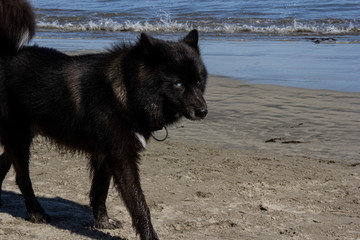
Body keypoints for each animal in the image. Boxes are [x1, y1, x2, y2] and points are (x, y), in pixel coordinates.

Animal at [0, 0, 207, 239]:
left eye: (198, 81)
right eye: (178, 83)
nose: (203, 111)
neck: (126, 92)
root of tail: (6, 54)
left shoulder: (105, 155)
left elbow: (99, 191)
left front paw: (102, 222)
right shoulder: (122, 157)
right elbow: (138, 204)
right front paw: (149, 235)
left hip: (19, 138)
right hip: (19, 138)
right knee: (22, 178)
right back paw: (36, 213)